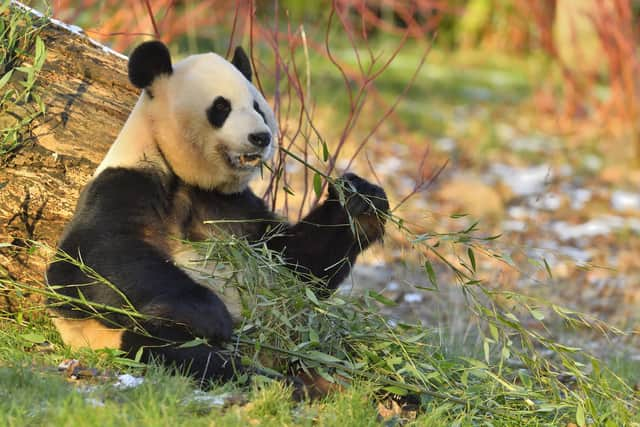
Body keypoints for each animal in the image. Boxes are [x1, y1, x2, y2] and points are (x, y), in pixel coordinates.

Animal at [46, 41, 390, 384]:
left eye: (257, 106)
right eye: (221, 107)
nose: (261, 137)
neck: (190, 178)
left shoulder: (237, 208)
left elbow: (296, 264)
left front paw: (361, 200)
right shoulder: (125, 183)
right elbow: (85, 265)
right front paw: (211, 317)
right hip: (122, 336)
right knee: (173, 350)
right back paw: (273, 378)